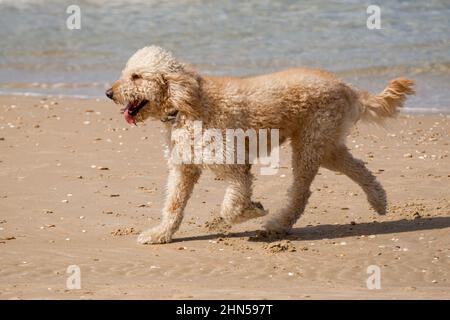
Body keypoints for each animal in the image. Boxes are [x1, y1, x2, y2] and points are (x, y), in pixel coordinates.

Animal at [106, 45, 414, 244]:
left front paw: (254, 209)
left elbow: (231, 207)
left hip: (310, 145)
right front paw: (160, 234)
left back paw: (275, 225)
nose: (108, 93)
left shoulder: (235, 167)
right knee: (358, 167)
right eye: (126, 73)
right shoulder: (184, 168)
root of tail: (347, 86)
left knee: (301, 194)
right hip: (325, 145)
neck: (187, 105)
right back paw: (378, 200)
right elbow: (173, 204)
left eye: (136, 76)